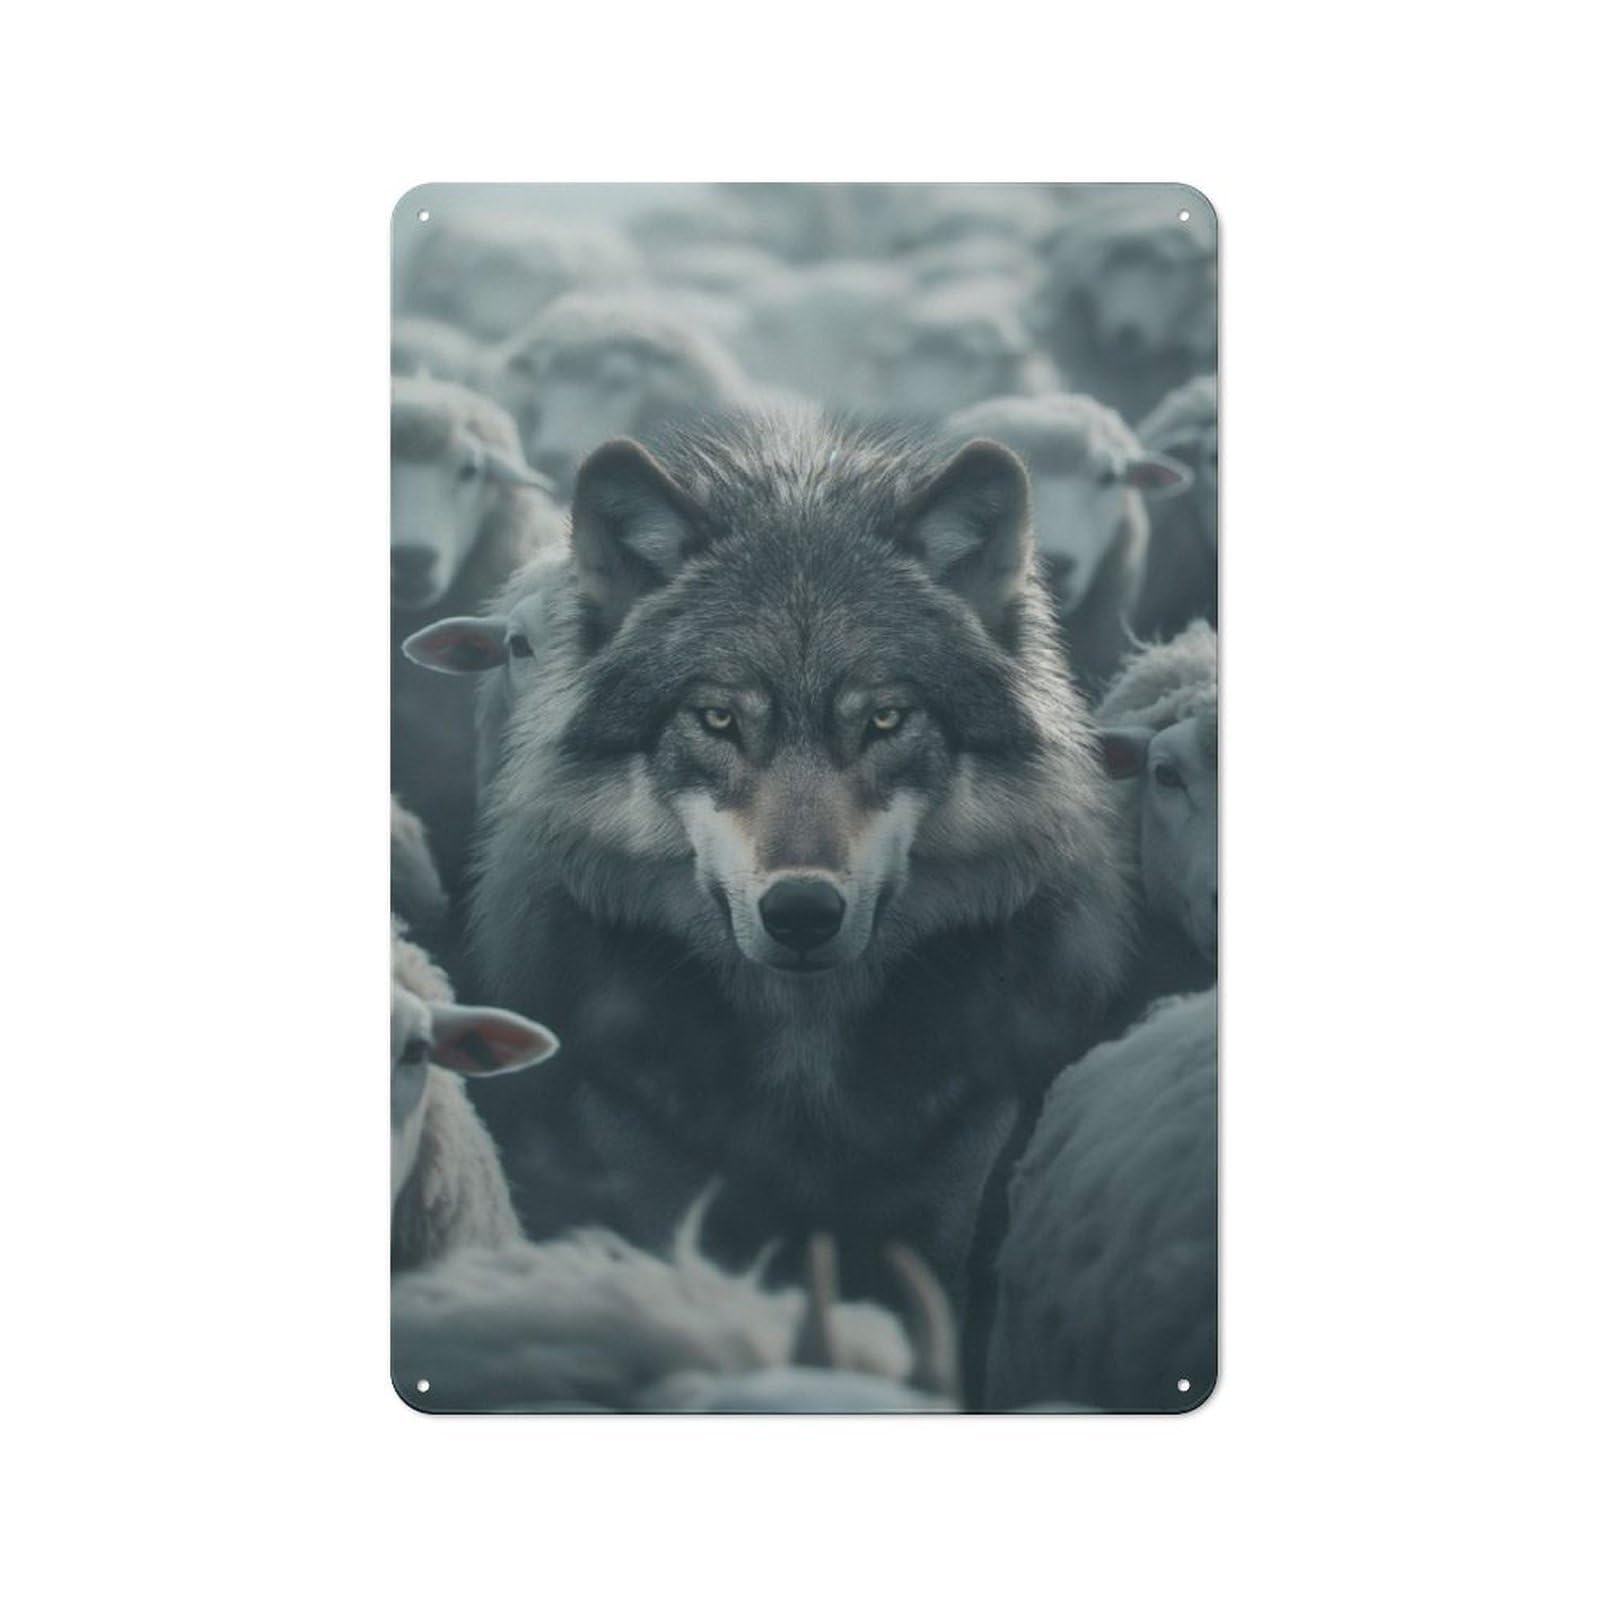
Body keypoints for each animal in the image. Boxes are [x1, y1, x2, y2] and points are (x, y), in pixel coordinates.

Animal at [465, 408, 1134, 1320]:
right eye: (716, 718)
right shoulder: (644, 1153)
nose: (803, 913)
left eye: (886, 719)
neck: (804, 1069)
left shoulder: (960, 1159)